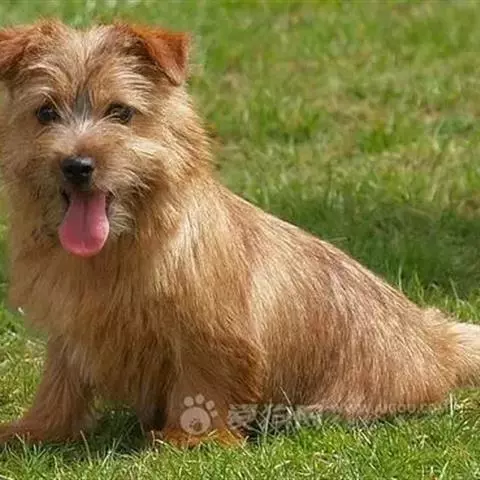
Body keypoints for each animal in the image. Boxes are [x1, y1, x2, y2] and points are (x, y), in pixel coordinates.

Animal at [0, 20, 478, 447]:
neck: (121, 247)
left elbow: (204, 379)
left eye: (121, 111)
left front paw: (189, 439)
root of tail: (436, 340)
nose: (77, 165)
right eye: (46, 112)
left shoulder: (213, 331)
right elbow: (60, 382)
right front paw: (37, 430)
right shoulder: (71, 326)